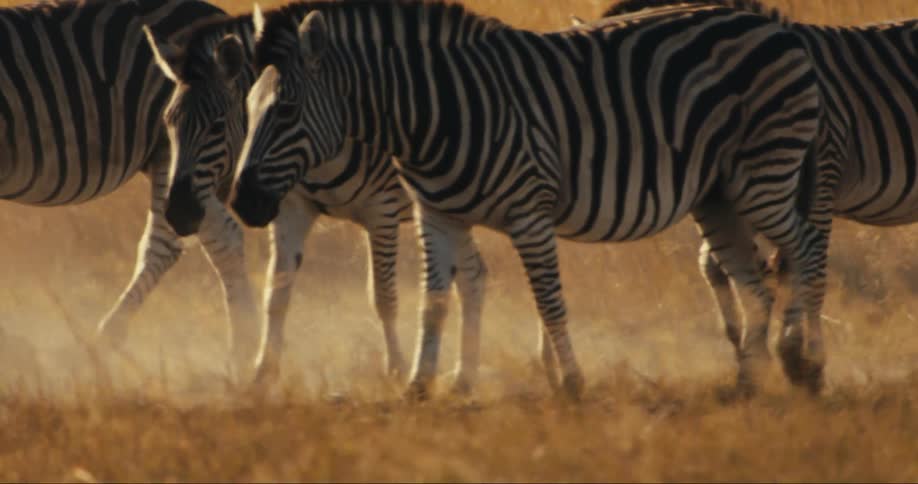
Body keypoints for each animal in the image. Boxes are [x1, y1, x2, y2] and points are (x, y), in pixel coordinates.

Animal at [143, 9, 490, 392]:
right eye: (168, 122)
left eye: (217, 126)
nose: (178, 212)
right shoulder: (292, 208)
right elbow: (277, 292)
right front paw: (262, 374)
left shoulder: (381, 209)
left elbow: (383, 296)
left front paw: (396, 370)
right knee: (474, 274)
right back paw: (465, 377)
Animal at [230, 0, 828, 400]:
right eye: (248, 105)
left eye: (285, 111)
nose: (241, 203)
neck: (438, 113)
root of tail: (774, 25)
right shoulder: (436, 216)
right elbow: (433, 301)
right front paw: (420, 386)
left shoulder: (528, 212)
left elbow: (548, 298)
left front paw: (571, 381)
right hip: (718, 196)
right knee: (756, 286)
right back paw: (749, 379)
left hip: (762, 176)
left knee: (804, 249)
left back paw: (805, 362)